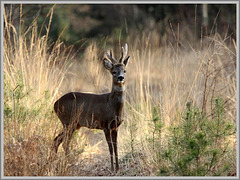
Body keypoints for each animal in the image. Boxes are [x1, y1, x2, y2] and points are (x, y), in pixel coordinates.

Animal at [51, 43, 130, 171]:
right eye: (114, 71)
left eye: (124, 70)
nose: (120, 78)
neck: (113, 106)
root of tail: (55, 104)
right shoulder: (105, 124)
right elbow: (110, 147)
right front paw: (112, 168)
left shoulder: (116, 126)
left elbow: (116, 147)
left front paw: (118, 168)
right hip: (69, 121)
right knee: (64, 142)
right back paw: (67, 164)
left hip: (73, 124)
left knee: (56, 140)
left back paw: (54, 162)